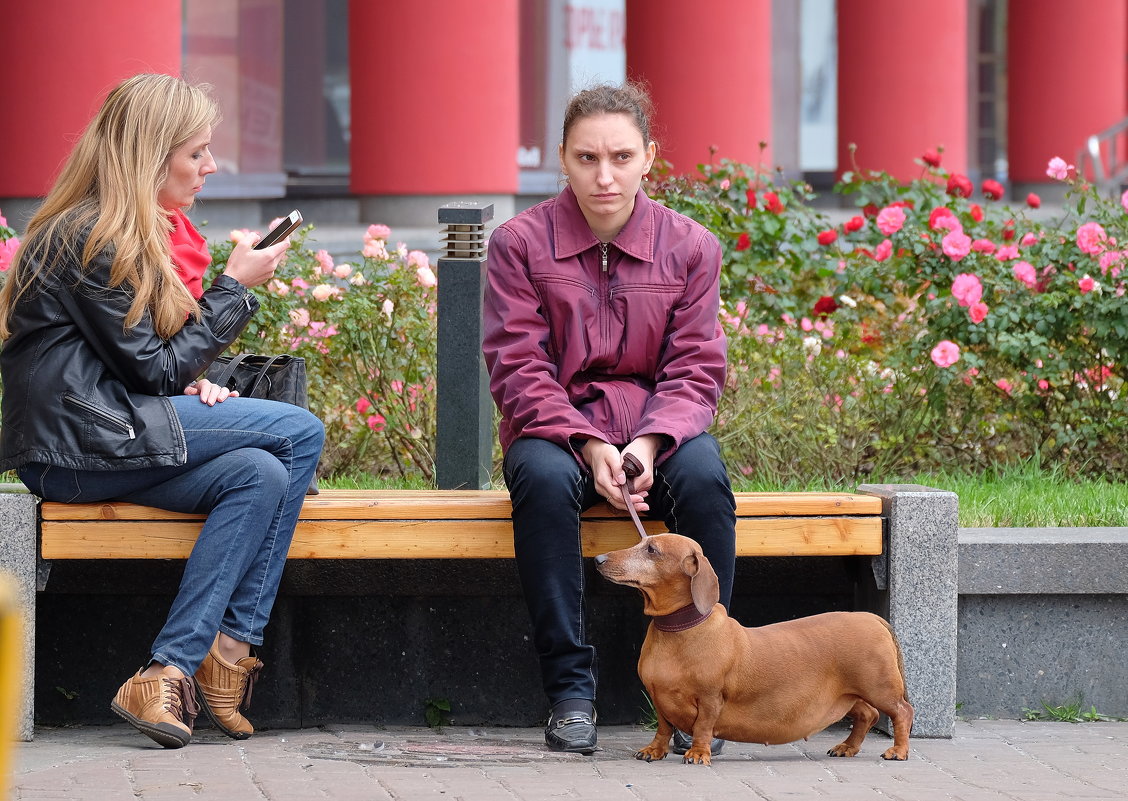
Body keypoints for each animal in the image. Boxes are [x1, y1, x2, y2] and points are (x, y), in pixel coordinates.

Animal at [595, 532, 911, 767]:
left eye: (652, 549)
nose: (598, 559)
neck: (679, 630)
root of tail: (872, 618)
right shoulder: (659, 697)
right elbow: (663, 727)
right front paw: (654, 750)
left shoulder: (711, 698)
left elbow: (702, 727)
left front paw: (698, 753)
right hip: (848, 694)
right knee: (867, 715)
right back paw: (847, 747)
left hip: (878, 688)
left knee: (902, 712)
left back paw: (898, 751)